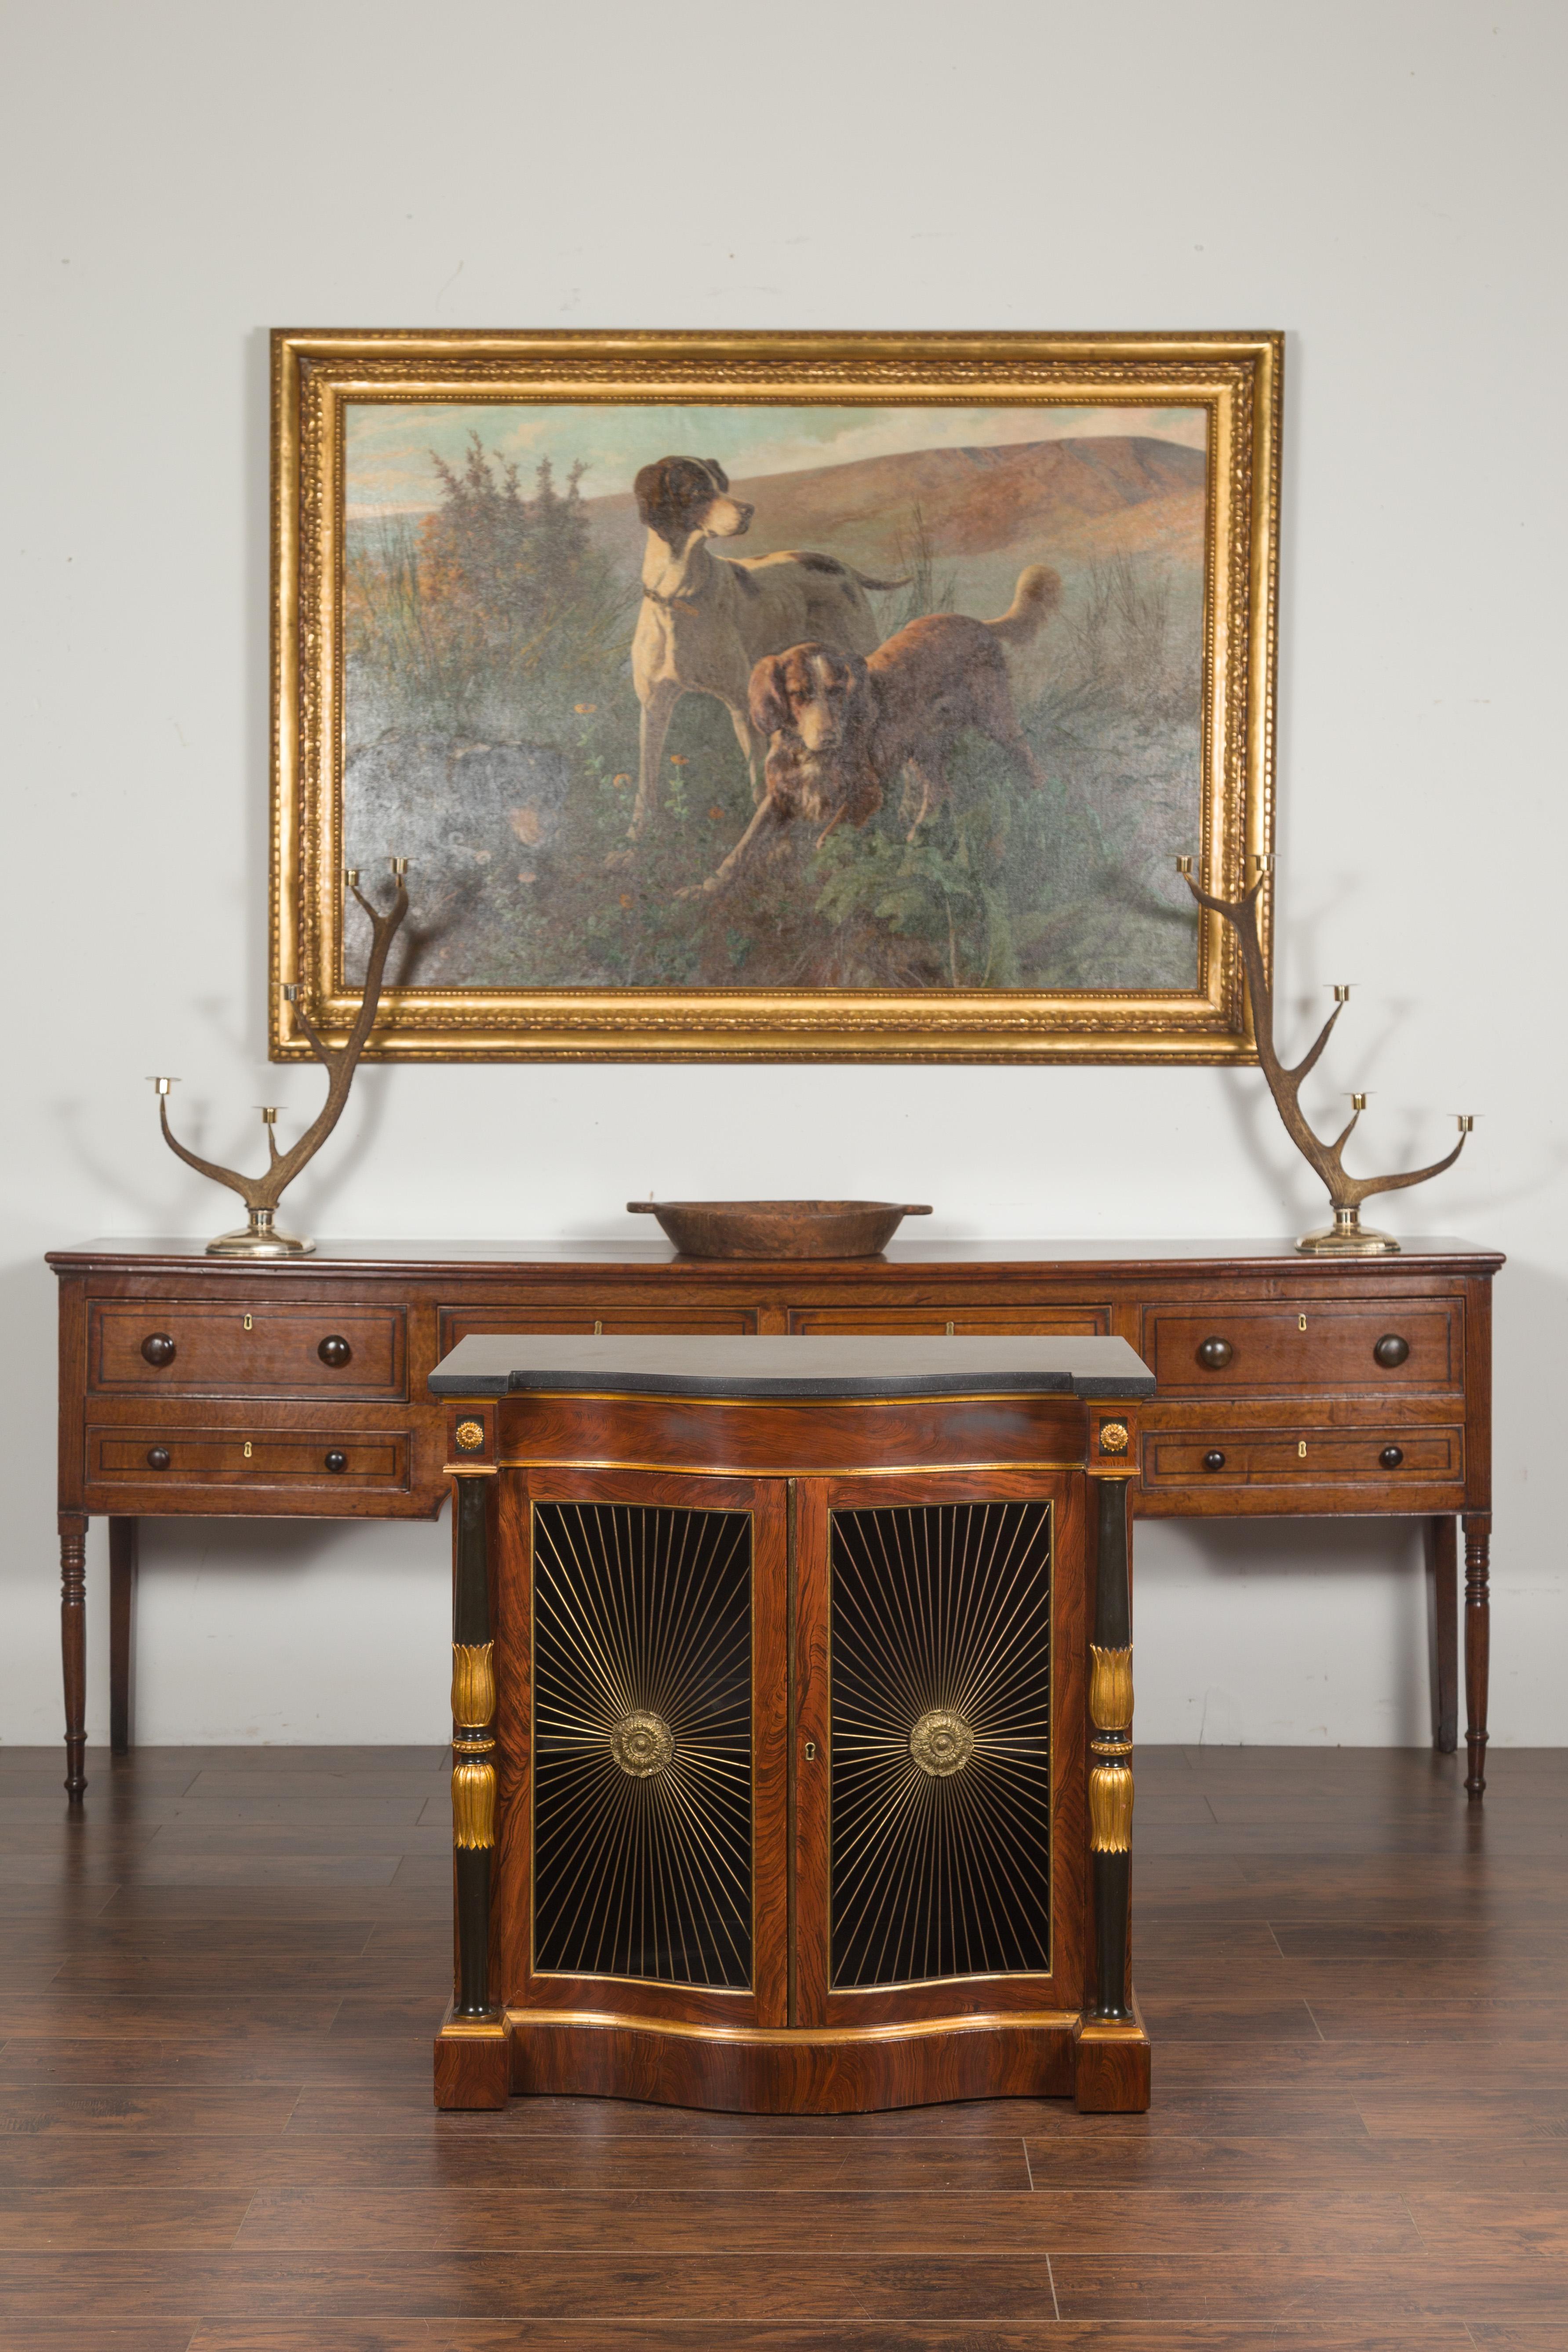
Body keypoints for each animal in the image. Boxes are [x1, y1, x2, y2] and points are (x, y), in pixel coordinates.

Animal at [630, 454, 907, 842]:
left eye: (720, 484)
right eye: (697, 489)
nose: (748, 510)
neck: (679, 597)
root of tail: (839, 565)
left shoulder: (740, 708)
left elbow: (757, 782)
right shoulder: (653, 707)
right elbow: (646, 778)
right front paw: (638, 834)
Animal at [681, 567, 1062, 898]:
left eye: (837, 690)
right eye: (799, 694)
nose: (829, 738)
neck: (809, 754)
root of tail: (977, 623)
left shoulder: (865, 793)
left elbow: (825, 841)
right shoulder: (780, 798)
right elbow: (741, 850)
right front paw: (704, 890)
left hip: (996, 720)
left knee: (1030, 763)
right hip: (922, 749)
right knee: (938, 791)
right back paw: (913, 842)